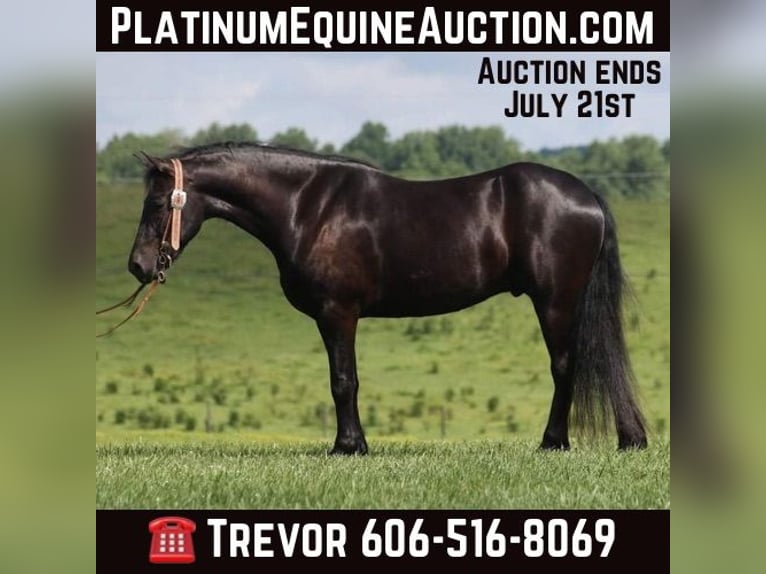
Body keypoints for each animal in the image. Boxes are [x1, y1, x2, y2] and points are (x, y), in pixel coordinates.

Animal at [125, 142, 647, 455]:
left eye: (158, 203)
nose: (139, 266)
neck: (309, 207)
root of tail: (587, 195)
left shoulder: (338, 313)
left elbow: (343, 381)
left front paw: (348, 446)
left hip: (555, 301)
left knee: (564, 367)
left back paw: (553, 442)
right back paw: (628, 438)